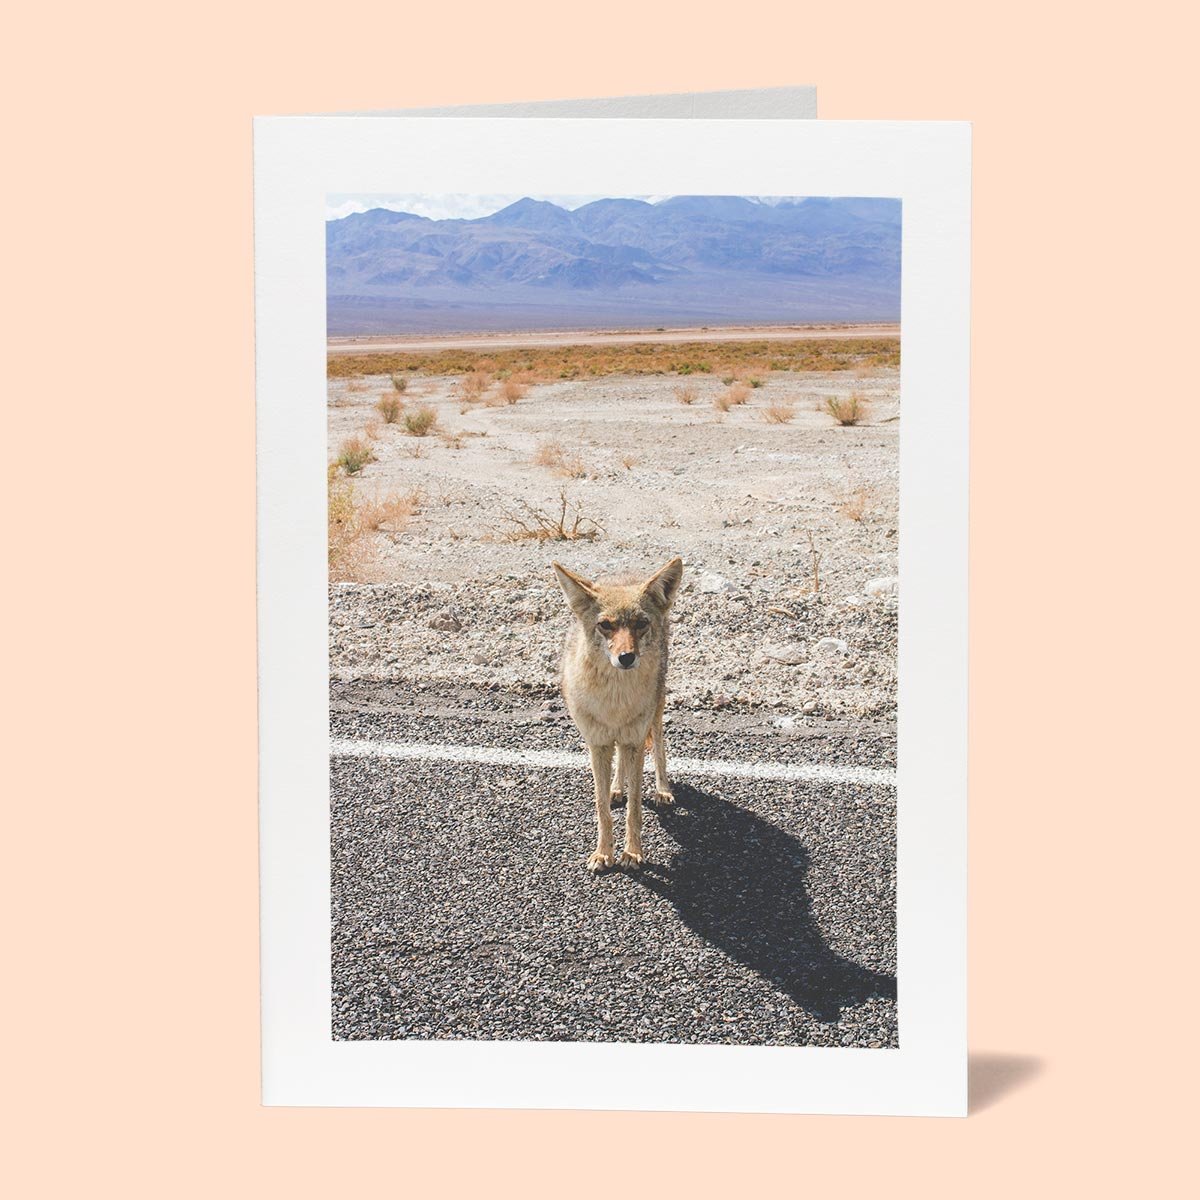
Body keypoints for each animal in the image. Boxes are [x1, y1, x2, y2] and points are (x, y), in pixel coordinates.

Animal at [551, 556, 685, 872]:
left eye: (640, 624)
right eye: (606, 625)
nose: (626, 657)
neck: (615, 703)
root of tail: (629, 573)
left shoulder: (634, 739)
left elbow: (635, 807)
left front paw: (632, 853)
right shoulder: (598, 744)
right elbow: (601, 807)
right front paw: (603, 854)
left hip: (656, 712)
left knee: (659, 747)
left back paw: (662, 790)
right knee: (620, 764)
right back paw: (616, 789)